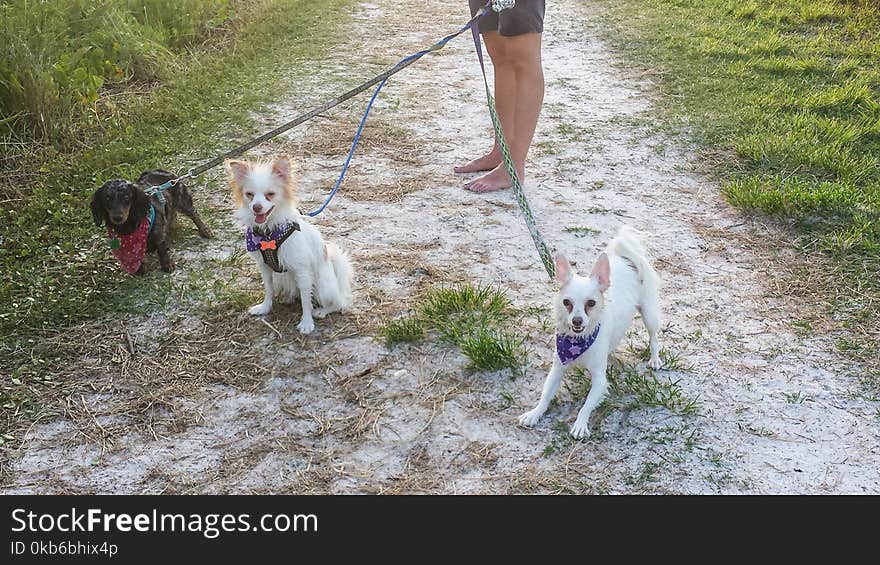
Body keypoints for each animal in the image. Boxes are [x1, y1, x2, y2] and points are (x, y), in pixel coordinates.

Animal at [227, 156, 354, 332]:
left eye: (270, 194)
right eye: (249, 195)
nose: (256, 207)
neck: (268, 232)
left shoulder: (302, 271)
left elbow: (306, 301)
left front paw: (306, 323)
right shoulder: (265, 267)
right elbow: (269, 289)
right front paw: (265, 307)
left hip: (323, 285)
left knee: (338, 303)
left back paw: (322, 311)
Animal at [516, 227, 660, 438]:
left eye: (591, 303)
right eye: (566, 302)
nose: (577, 320)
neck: (578, 341)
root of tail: (626, 258)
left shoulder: (600, 380)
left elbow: (586, 405)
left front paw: (580, 425)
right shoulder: (557, 369)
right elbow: (545, 396)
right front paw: (535, 413)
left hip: (649, 313)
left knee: (654, 336)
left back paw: (655, 359)